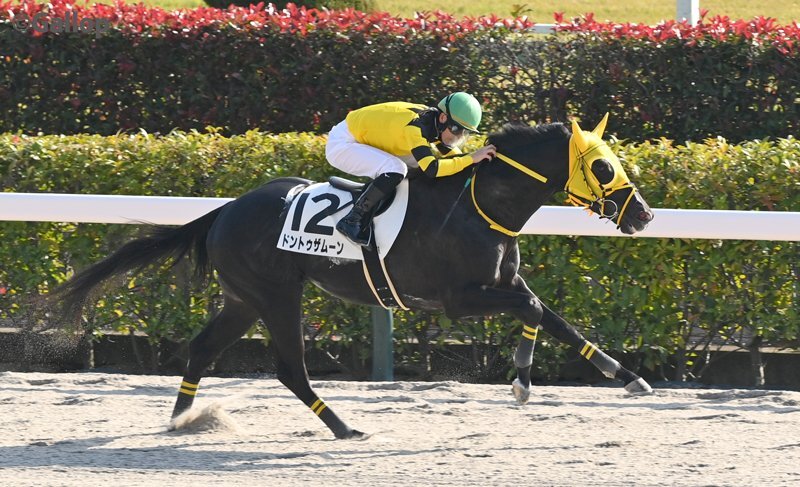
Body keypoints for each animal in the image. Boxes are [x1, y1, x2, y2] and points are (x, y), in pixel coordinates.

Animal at [54, 114, 654, 439]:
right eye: (603, 166)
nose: (644, 215)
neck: (480, 204)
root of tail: (223, 211)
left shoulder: (503, 285)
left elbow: (554, 319)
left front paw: (625, 376)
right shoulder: (458, 299)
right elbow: (533, 312)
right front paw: (524, 382)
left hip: (243, 300)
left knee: (201, 350)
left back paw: (183, 420)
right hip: (276, 297)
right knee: (290, 369)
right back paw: (343, 427)